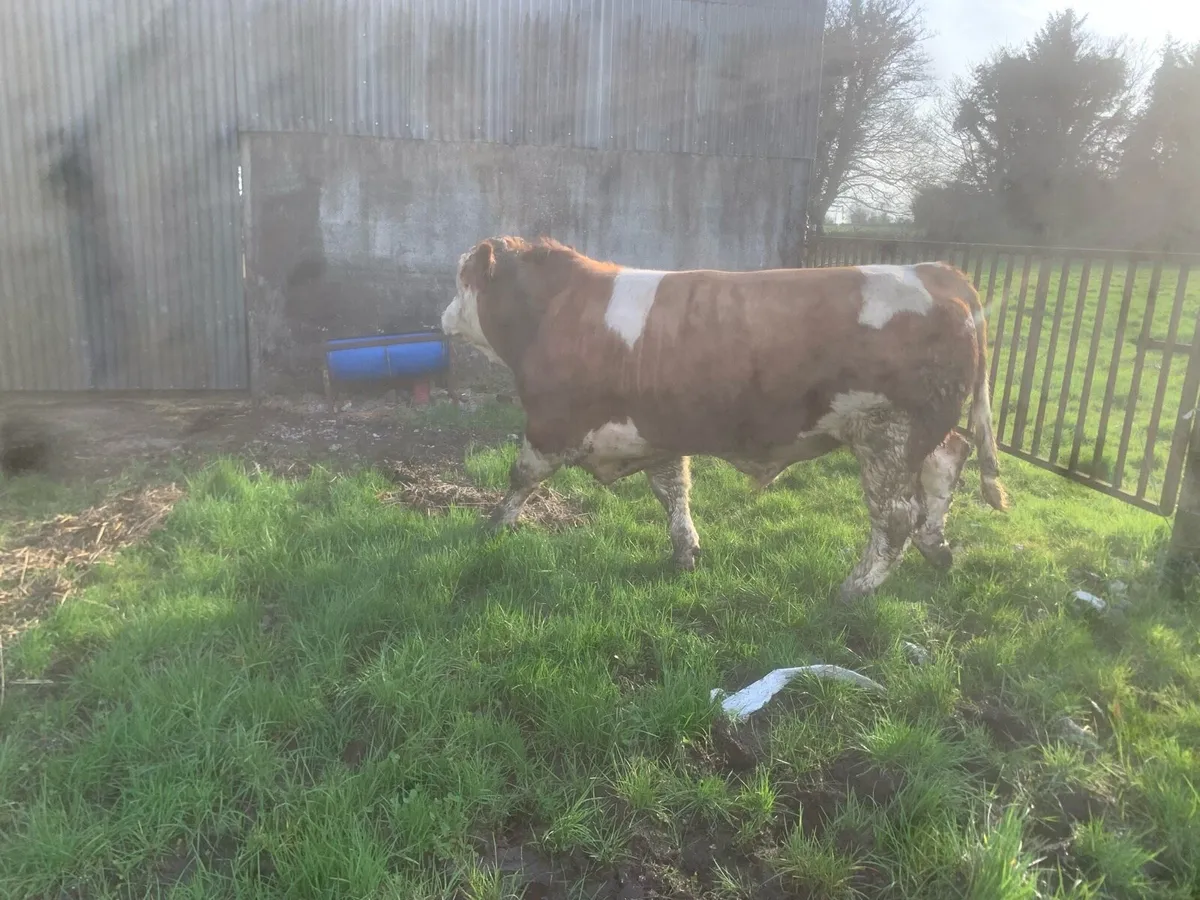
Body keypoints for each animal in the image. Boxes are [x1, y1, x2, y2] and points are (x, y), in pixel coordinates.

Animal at [440, 236, 1008, 601]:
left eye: (462, 277)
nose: (443, 315)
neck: (555, 311)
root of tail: (935, 271)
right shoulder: (657, 430)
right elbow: (673, 491)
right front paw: (684, 551)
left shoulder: (550, 425)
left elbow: (520, 477)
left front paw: (493, 527)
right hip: (921, 431)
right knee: (947, 461)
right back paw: (936, 548)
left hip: (887, 430)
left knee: (895, 515)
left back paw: (854, 589)